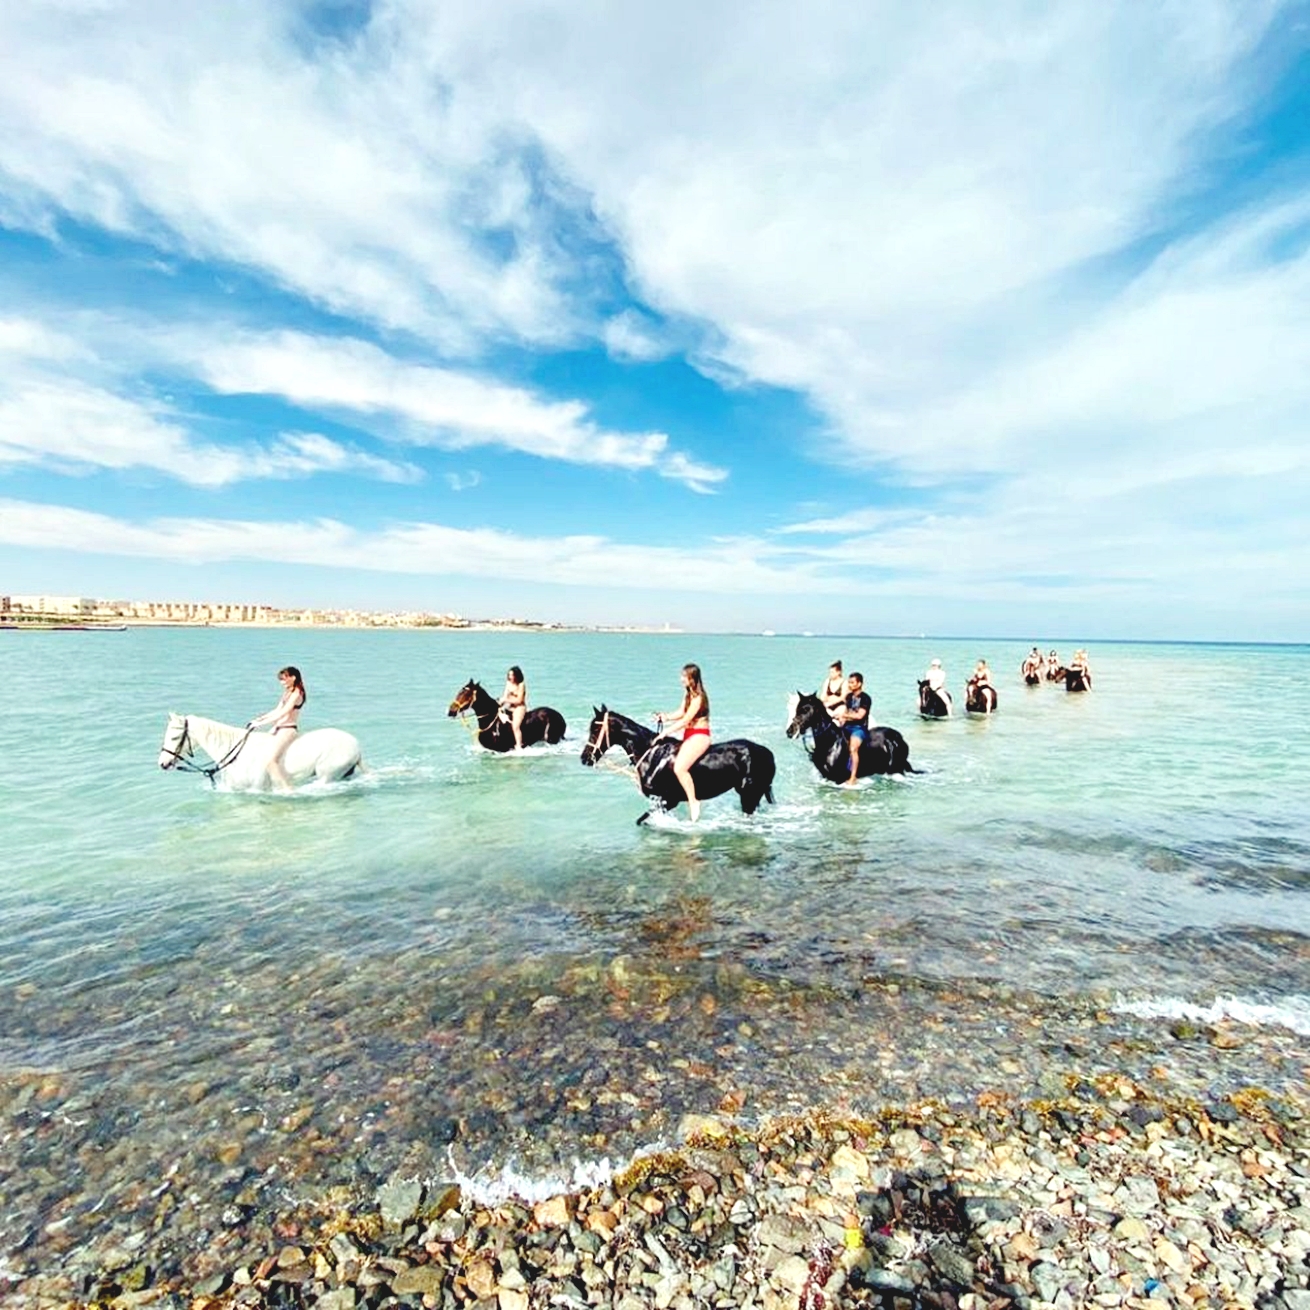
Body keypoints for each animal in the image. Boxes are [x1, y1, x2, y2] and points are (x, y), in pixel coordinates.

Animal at [580, 705, 776, 824]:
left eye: (595, 729)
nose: (584, 758)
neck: (650, 754)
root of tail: (768, 753)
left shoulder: (669, 800)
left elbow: (642, 820)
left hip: (749, 795)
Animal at [785, 692, 916, 782]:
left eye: (806, 710)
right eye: (797, 709)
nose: (790, 732)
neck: (830, 743)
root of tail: (899, 737)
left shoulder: (838, 778)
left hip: (896, 770)